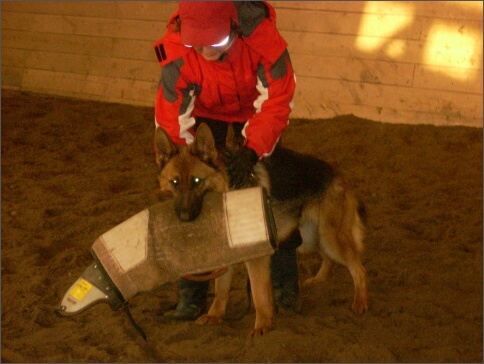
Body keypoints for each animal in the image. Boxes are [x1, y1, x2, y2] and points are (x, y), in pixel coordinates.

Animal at [155, 124, 370, 336]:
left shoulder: (257, 259)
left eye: (197, 181)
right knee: (329, 258)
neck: (225, 192)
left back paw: (360, 302)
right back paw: (319, 279)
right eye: (175, 182)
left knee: (358, 269)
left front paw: (262, 326)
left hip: (329, 238)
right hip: (310, 240)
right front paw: (213, 316)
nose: (184, 217)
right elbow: (221, 291)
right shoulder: (226, 258)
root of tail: (338, 175)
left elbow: (259, 295)